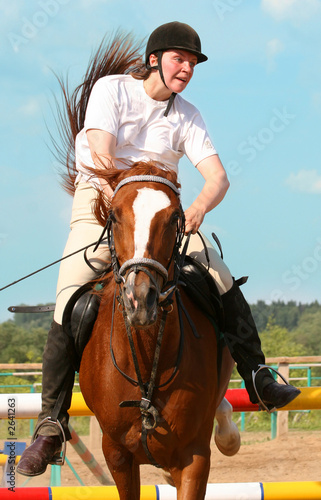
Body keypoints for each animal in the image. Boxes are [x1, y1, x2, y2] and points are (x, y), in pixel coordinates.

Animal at [78, 162, 238, 498]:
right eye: (115, 216)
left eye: (174, 218)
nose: (140, 300)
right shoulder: (116, 454)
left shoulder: (194, 455)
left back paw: (230, 436)